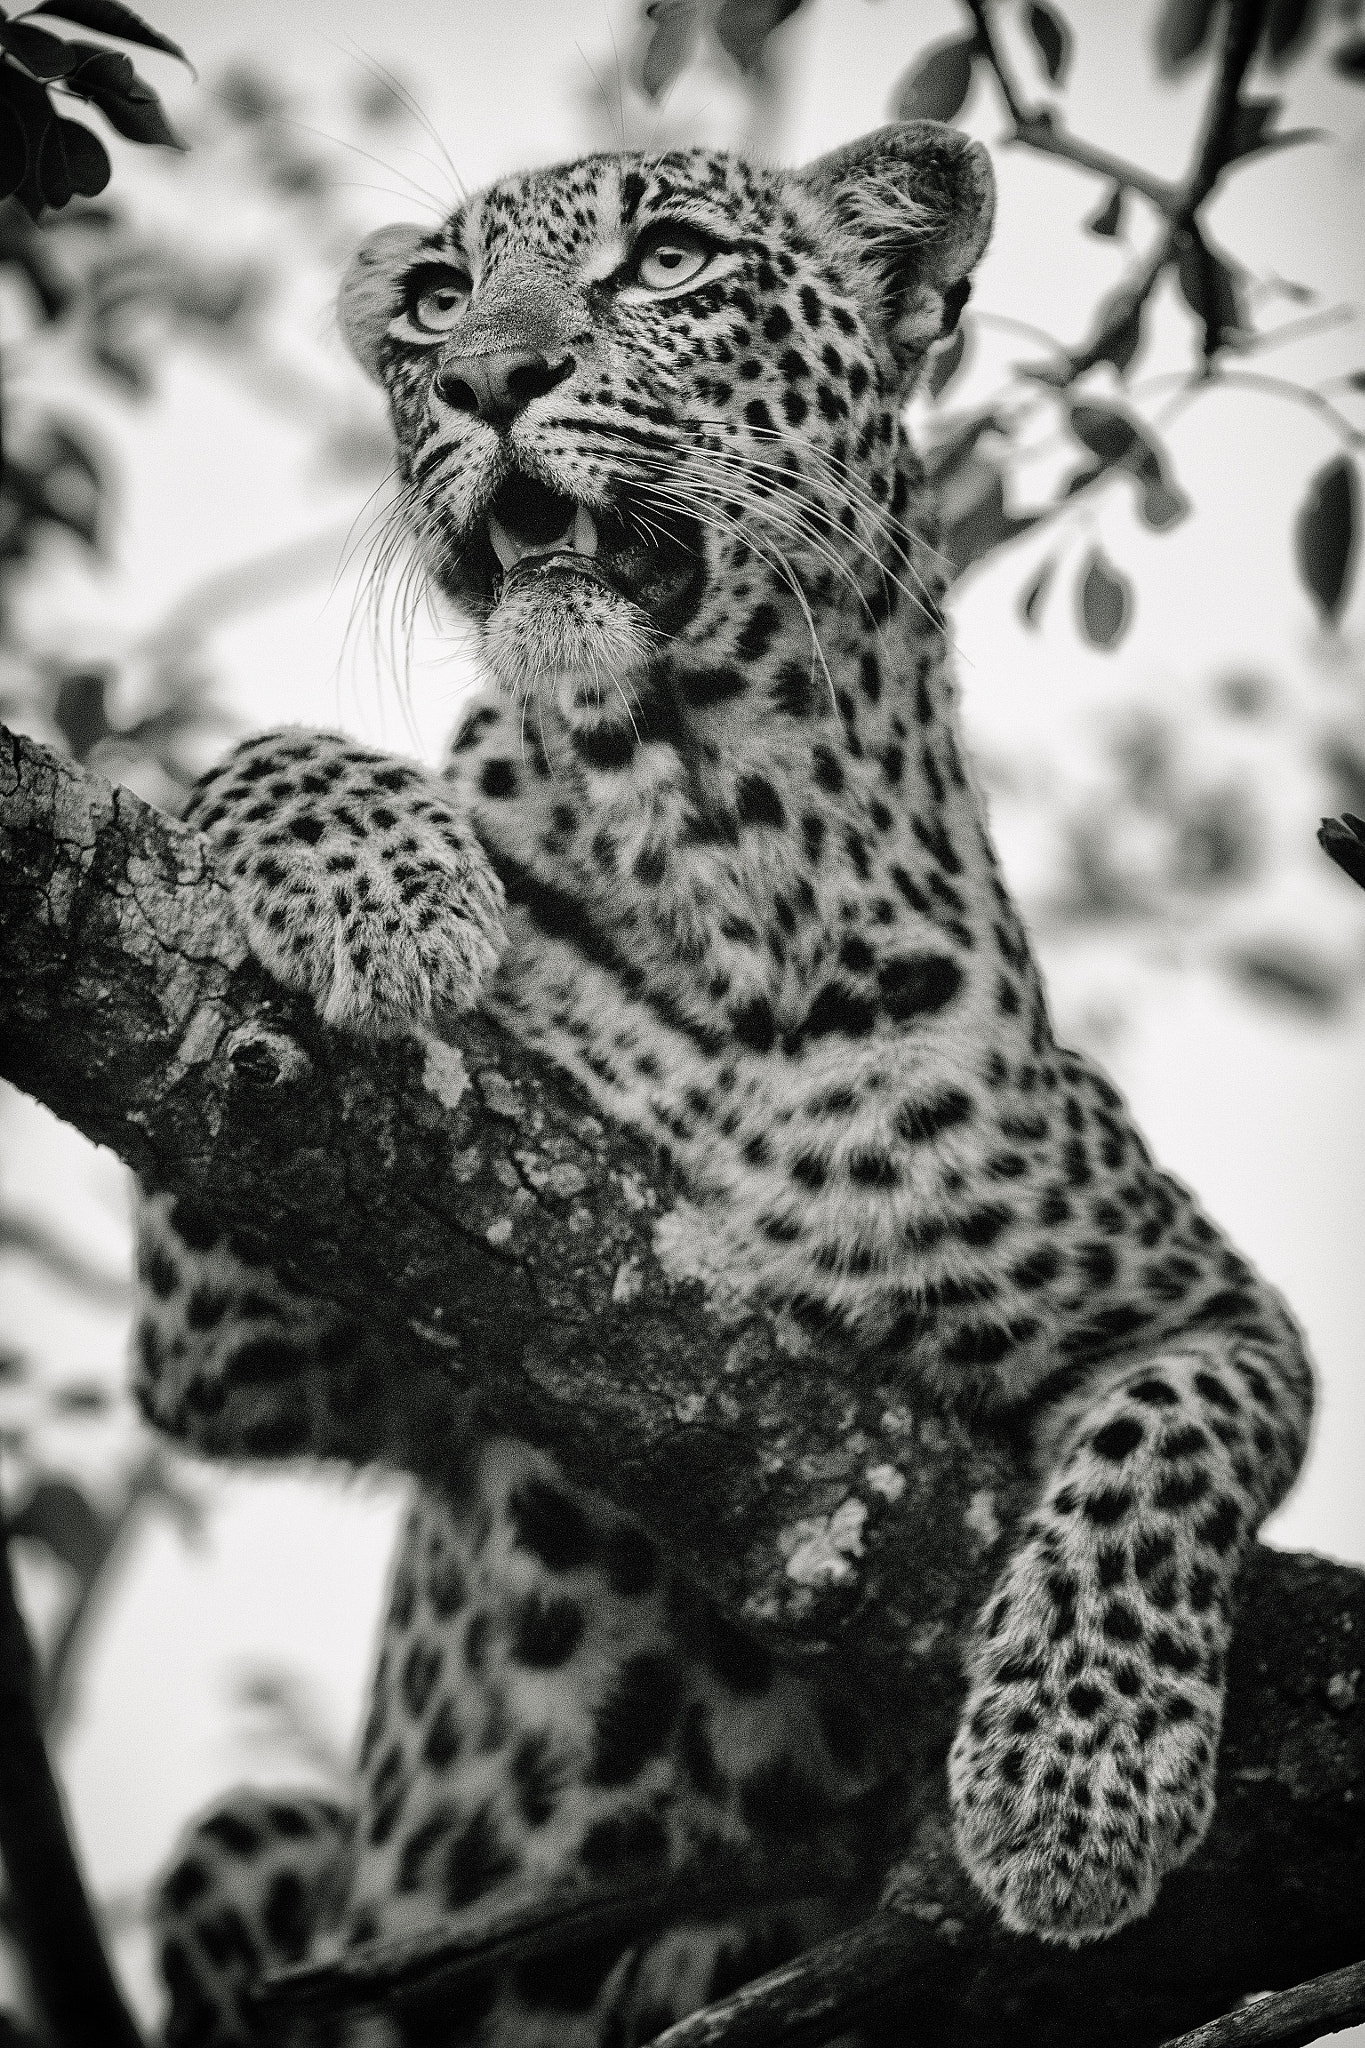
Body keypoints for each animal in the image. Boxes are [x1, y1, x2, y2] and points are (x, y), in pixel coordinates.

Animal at [137, 119, 1314, 2047]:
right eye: (435, 297)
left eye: (672, 256)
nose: (487, 379)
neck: (713, 832)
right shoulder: (252, 1340)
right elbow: (231, 782)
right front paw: (388, 884)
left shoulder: (1211, 1308)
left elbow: (1160, 1453)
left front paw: (1074, 1785)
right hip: (255, 1842)